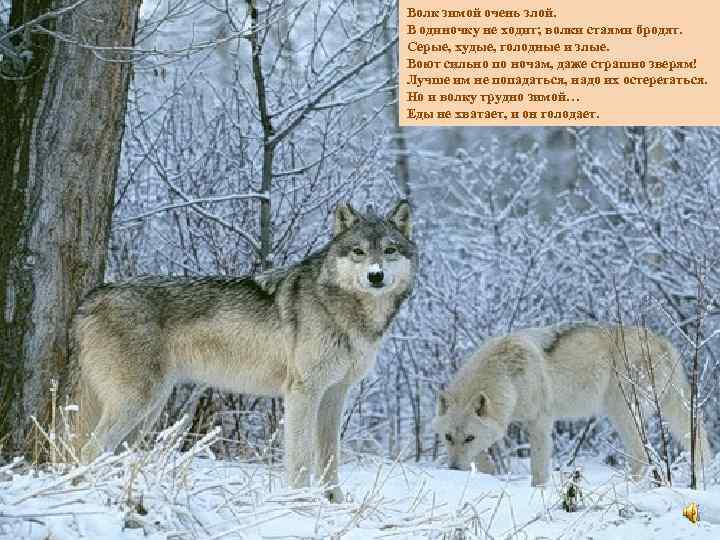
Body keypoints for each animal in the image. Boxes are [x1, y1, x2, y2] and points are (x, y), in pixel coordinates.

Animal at [73, 200, 416, 502]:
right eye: (358, 252)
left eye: (390, 250)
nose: (375, 275)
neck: (346, 311)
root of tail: (91, 297)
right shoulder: (302, 393)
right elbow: (301, 458)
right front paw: (299, 504)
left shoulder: (335, 394)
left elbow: (330, 459)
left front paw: (334, 503)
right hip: (137, 404)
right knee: (88, 450)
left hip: (148, 412)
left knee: (112, 453)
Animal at [433, 324, 712, 486]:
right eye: (447, 437)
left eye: (468, 437)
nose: (453, 469)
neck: (507, 376)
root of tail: (664, 343)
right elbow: (484, 457)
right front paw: (488, 473)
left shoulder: (540, 423)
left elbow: (538, 470)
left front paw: (538, 491)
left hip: (621, 413)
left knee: (641, 457)